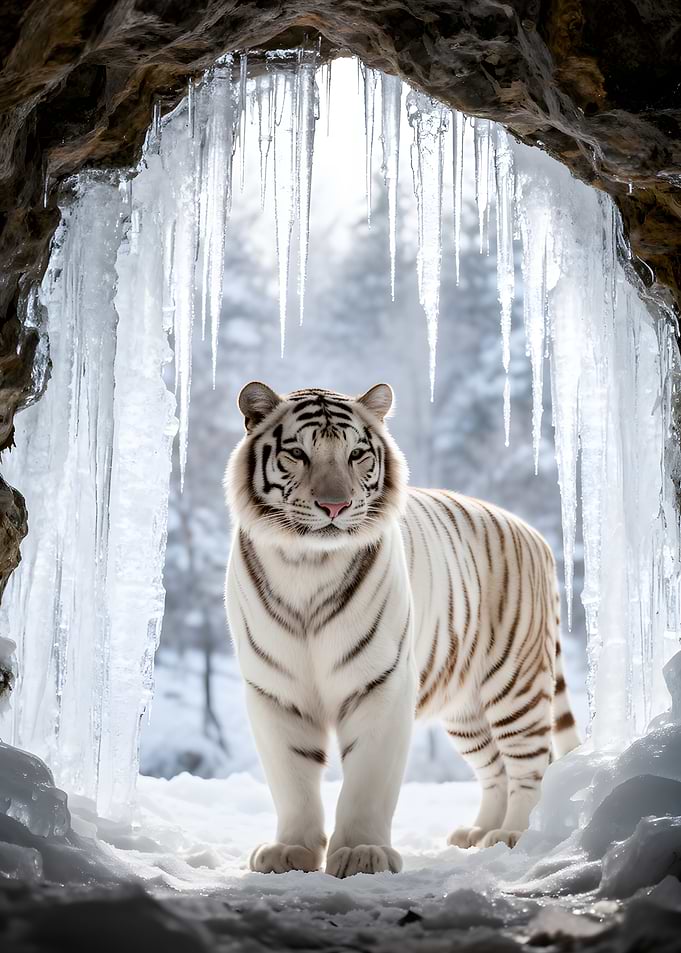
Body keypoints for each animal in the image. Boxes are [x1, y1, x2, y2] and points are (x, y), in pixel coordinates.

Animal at [225, 381, 580, 879]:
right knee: (494, 768)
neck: (307, 565)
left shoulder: (382, 683)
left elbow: (368, 779)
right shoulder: (276, 690)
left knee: (529, 764)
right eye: (296, 453)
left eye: (356, 454)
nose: (335, 505)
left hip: (515, 684)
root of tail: (537, 535)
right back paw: (478, 833)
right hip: (465, 706)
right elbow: (291, 779)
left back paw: (511, 835)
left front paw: (362, 853)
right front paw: (290, 851)